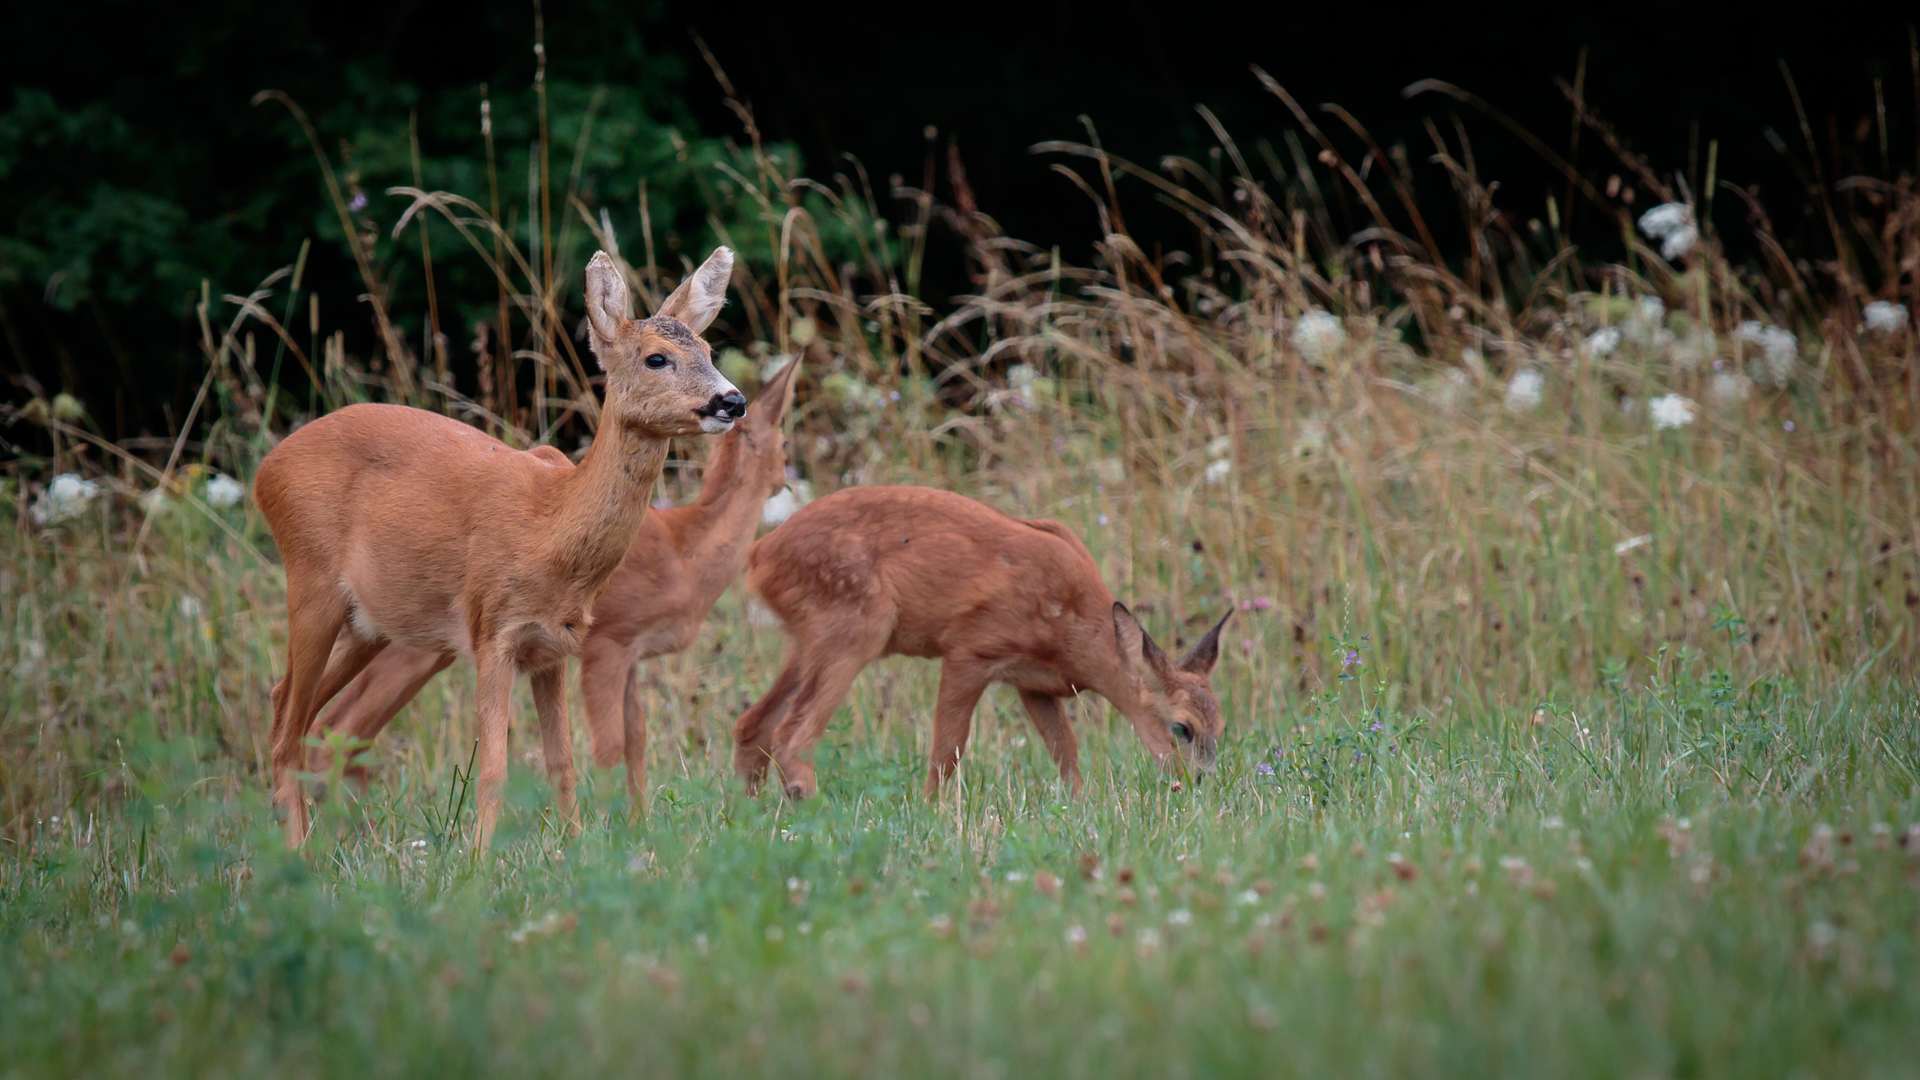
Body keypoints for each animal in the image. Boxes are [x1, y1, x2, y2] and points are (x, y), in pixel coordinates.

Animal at [249, 247, 741, 845]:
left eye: (709, 351)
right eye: (656, 358)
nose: (732, 400)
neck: (550, 529)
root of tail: (265, 470)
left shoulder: (555, 646)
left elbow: (563, 763)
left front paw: (576, 848)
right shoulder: (492, 631)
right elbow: (494, 770)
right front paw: (478, 861)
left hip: (370, 623)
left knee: (288, 705)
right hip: (310, 580)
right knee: (288, 726)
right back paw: (298, 850)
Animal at [307, 353, 802, 799]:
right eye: (784, 443)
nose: (787, 481)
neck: (685, 554)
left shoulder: (632, 653)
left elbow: (637, 738)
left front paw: (639, 822)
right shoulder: (609, 642)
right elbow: (609, 745)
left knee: (337, 729)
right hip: (417, 646)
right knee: (337, 729)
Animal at [725, 484, 1236, 795]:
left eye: (1223, 726)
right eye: (1181, 727)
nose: (1202, 783)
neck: (1074, 635)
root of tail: (758, 554)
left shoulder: (1034, 686)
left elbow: (1066, 754)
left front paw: (1081, 806)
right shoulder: (971, 647)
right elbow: (947, 750)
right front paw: (930, 811)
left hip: (807, 639)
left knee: (752, 724)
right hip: (855, 625)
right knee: (792, 733)